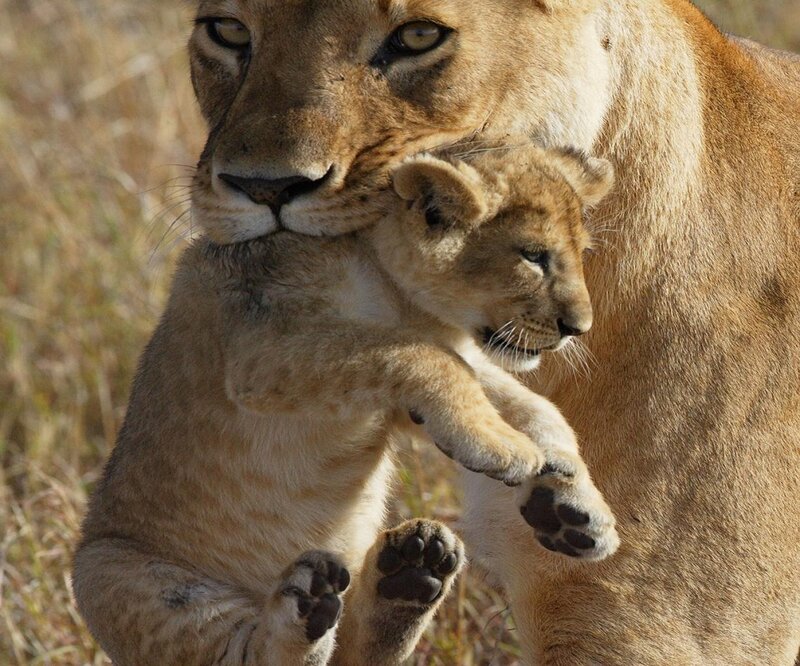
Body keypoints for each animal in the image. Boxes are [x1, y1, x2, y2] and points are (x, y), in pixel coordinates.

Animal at [73, 145, 618, 665]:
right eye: (533, 255)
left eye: (582, 253)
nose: (579, 328)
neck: (399, 294)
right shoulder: (262, 349)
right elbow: (426, 358)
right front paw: (504, 449)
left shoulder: (412, 390)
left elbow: (534, 405)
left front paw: (573, 506)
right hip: (121, 579)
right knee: (251, 652)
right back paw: (307, 601)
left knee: (352, 649)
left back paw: (413, 569)